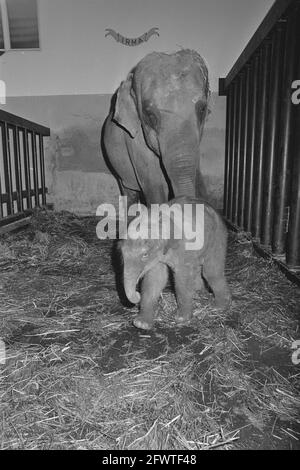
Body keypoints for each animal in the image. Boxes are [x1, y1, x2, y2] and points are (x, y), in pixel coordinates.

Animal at [120, 196, 231, 330]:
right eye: (122, 253)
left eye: (145, 255)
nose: (137, 294)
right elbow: (156, 278)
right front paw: (141, 324)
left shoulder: (182, 246)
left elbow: (181, 277)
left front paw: (181, 319)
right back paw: (198, 294)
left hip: (217, 237)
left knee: (211, 272)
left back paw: (218, 307)